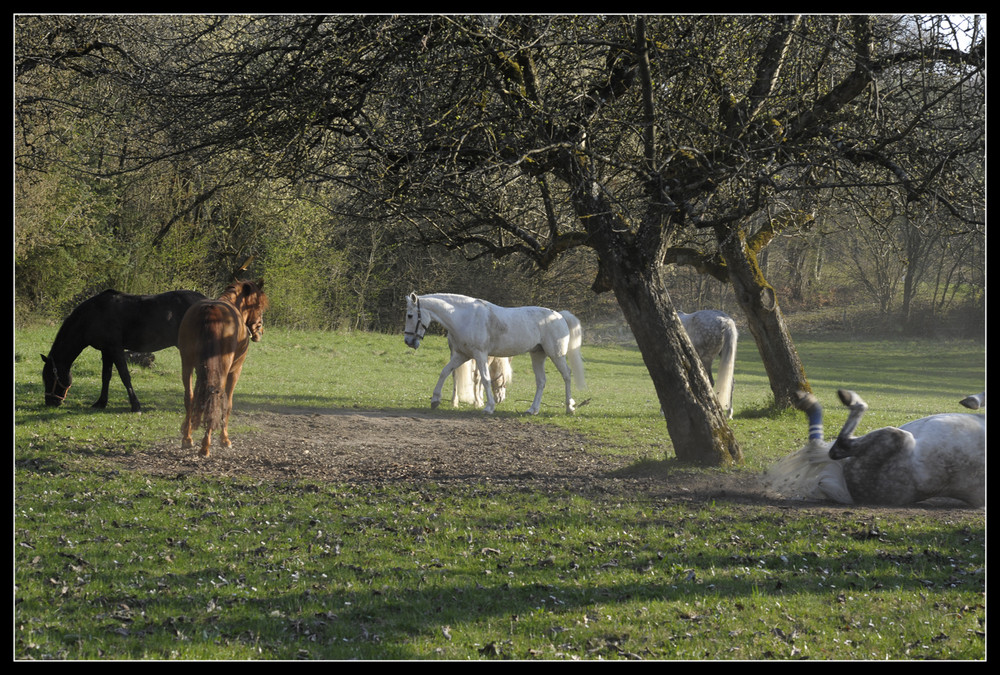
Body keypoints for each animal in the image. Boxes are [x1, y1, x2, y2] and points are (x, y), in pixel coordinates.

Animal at [42, 286, 206, 410]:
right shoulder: (106, 351)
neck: (93, 316)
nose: (50, 402)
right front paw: (101, 403)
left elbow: (125, 376)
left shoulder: (115, 349)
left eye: (49, 377)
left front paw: (135, 405)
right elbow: (106, 376)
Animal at [178, 280, 268, 460]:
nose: (260, 331)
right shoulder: (235, 371)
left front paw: (187, 428)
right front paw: (224, 439)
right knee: (216, 397)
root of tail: (210, 311)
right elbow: (228, 403)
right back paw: (205, 446)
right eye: (259, 306)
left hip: (187, 363)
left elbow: (197, 398)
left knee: (190, 397)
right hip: (223, 370)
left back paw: (188, 439)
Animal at [402, 294, 584, 414]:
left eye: (410, 315)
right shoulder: (461, 355)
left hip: (556, 355)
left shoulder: (480, 355)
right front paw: (435, 400)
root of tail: (560, 315)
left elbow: (485, 379)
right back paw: (532, 409)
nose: (408, 341)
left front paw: (488, 407)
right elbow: (444, 372)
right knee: (541, 381)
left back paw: (569, 407)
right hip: (537, 355)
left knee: (567, 376)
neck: (464, 317)